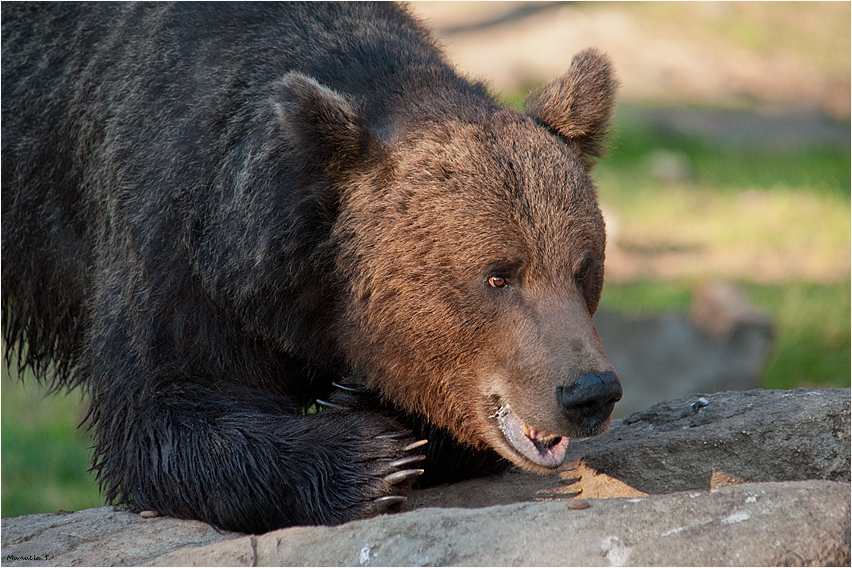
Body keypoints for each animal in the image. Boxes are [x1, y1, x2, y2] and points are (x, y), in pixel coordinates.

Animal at [3, 1, 624, 532]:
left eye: (582, 267)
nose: (589, 393)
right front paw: (372, 457)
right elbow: (163, 405)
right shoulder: (173, 240)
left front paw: (366, 406)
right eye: (498, 275)